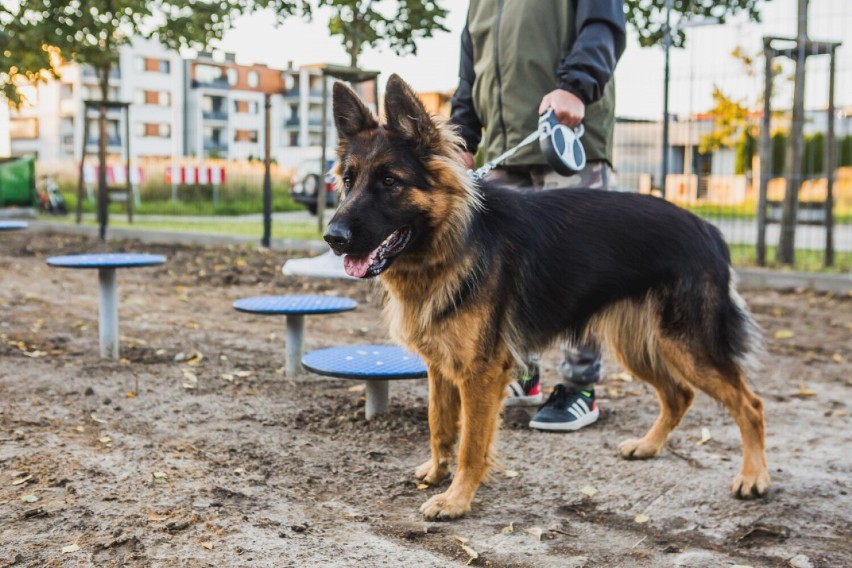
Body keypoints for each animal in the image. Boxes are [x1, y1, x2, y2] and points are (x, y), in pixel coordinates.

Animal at [324, 75, 764, 520]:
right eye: (349, 181)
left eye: (390, 182)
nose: (333, 238)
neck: (455, 238)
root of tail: (709, 230)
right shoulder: (441, 364)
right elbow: (439, 424)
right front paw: (436, 472)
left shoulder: (480, 374)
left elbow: (471, 444)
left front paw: (456, 498)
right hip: (640, 346)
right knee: (680, 395)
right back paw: (648, 446)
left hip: (686, 347)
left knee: (750, 405)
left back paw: (754, 477)